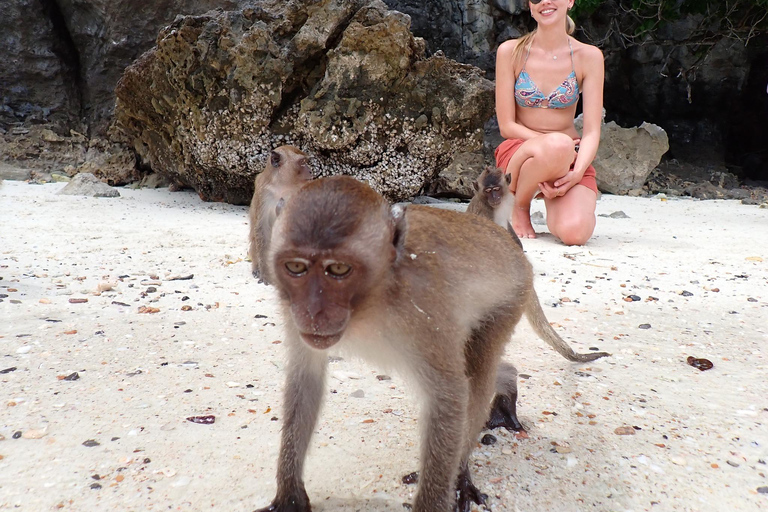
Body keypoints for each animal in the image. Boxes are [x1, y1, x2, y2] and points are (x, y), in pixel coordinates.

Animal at [250, 145, 314, 284]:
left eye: (306, 161)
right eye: (302, 162)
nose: (310, 171)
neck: (282, 186)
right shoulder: (263, 193)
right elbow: (262, 228)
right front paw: (265, 274)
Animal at [255, 176, 608, 512]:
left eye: (339, 269)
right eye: (296, 267)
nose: (314, 311)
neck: (374, 295)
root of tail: (517, 254)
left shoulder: (423, 307)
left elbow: (449, 395)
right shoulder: (292, 312)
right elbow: (305, 379)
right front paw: (289, 494)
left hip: (509, 299)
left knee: (477, 373)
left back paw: (463, 469)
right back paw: (507, 385)